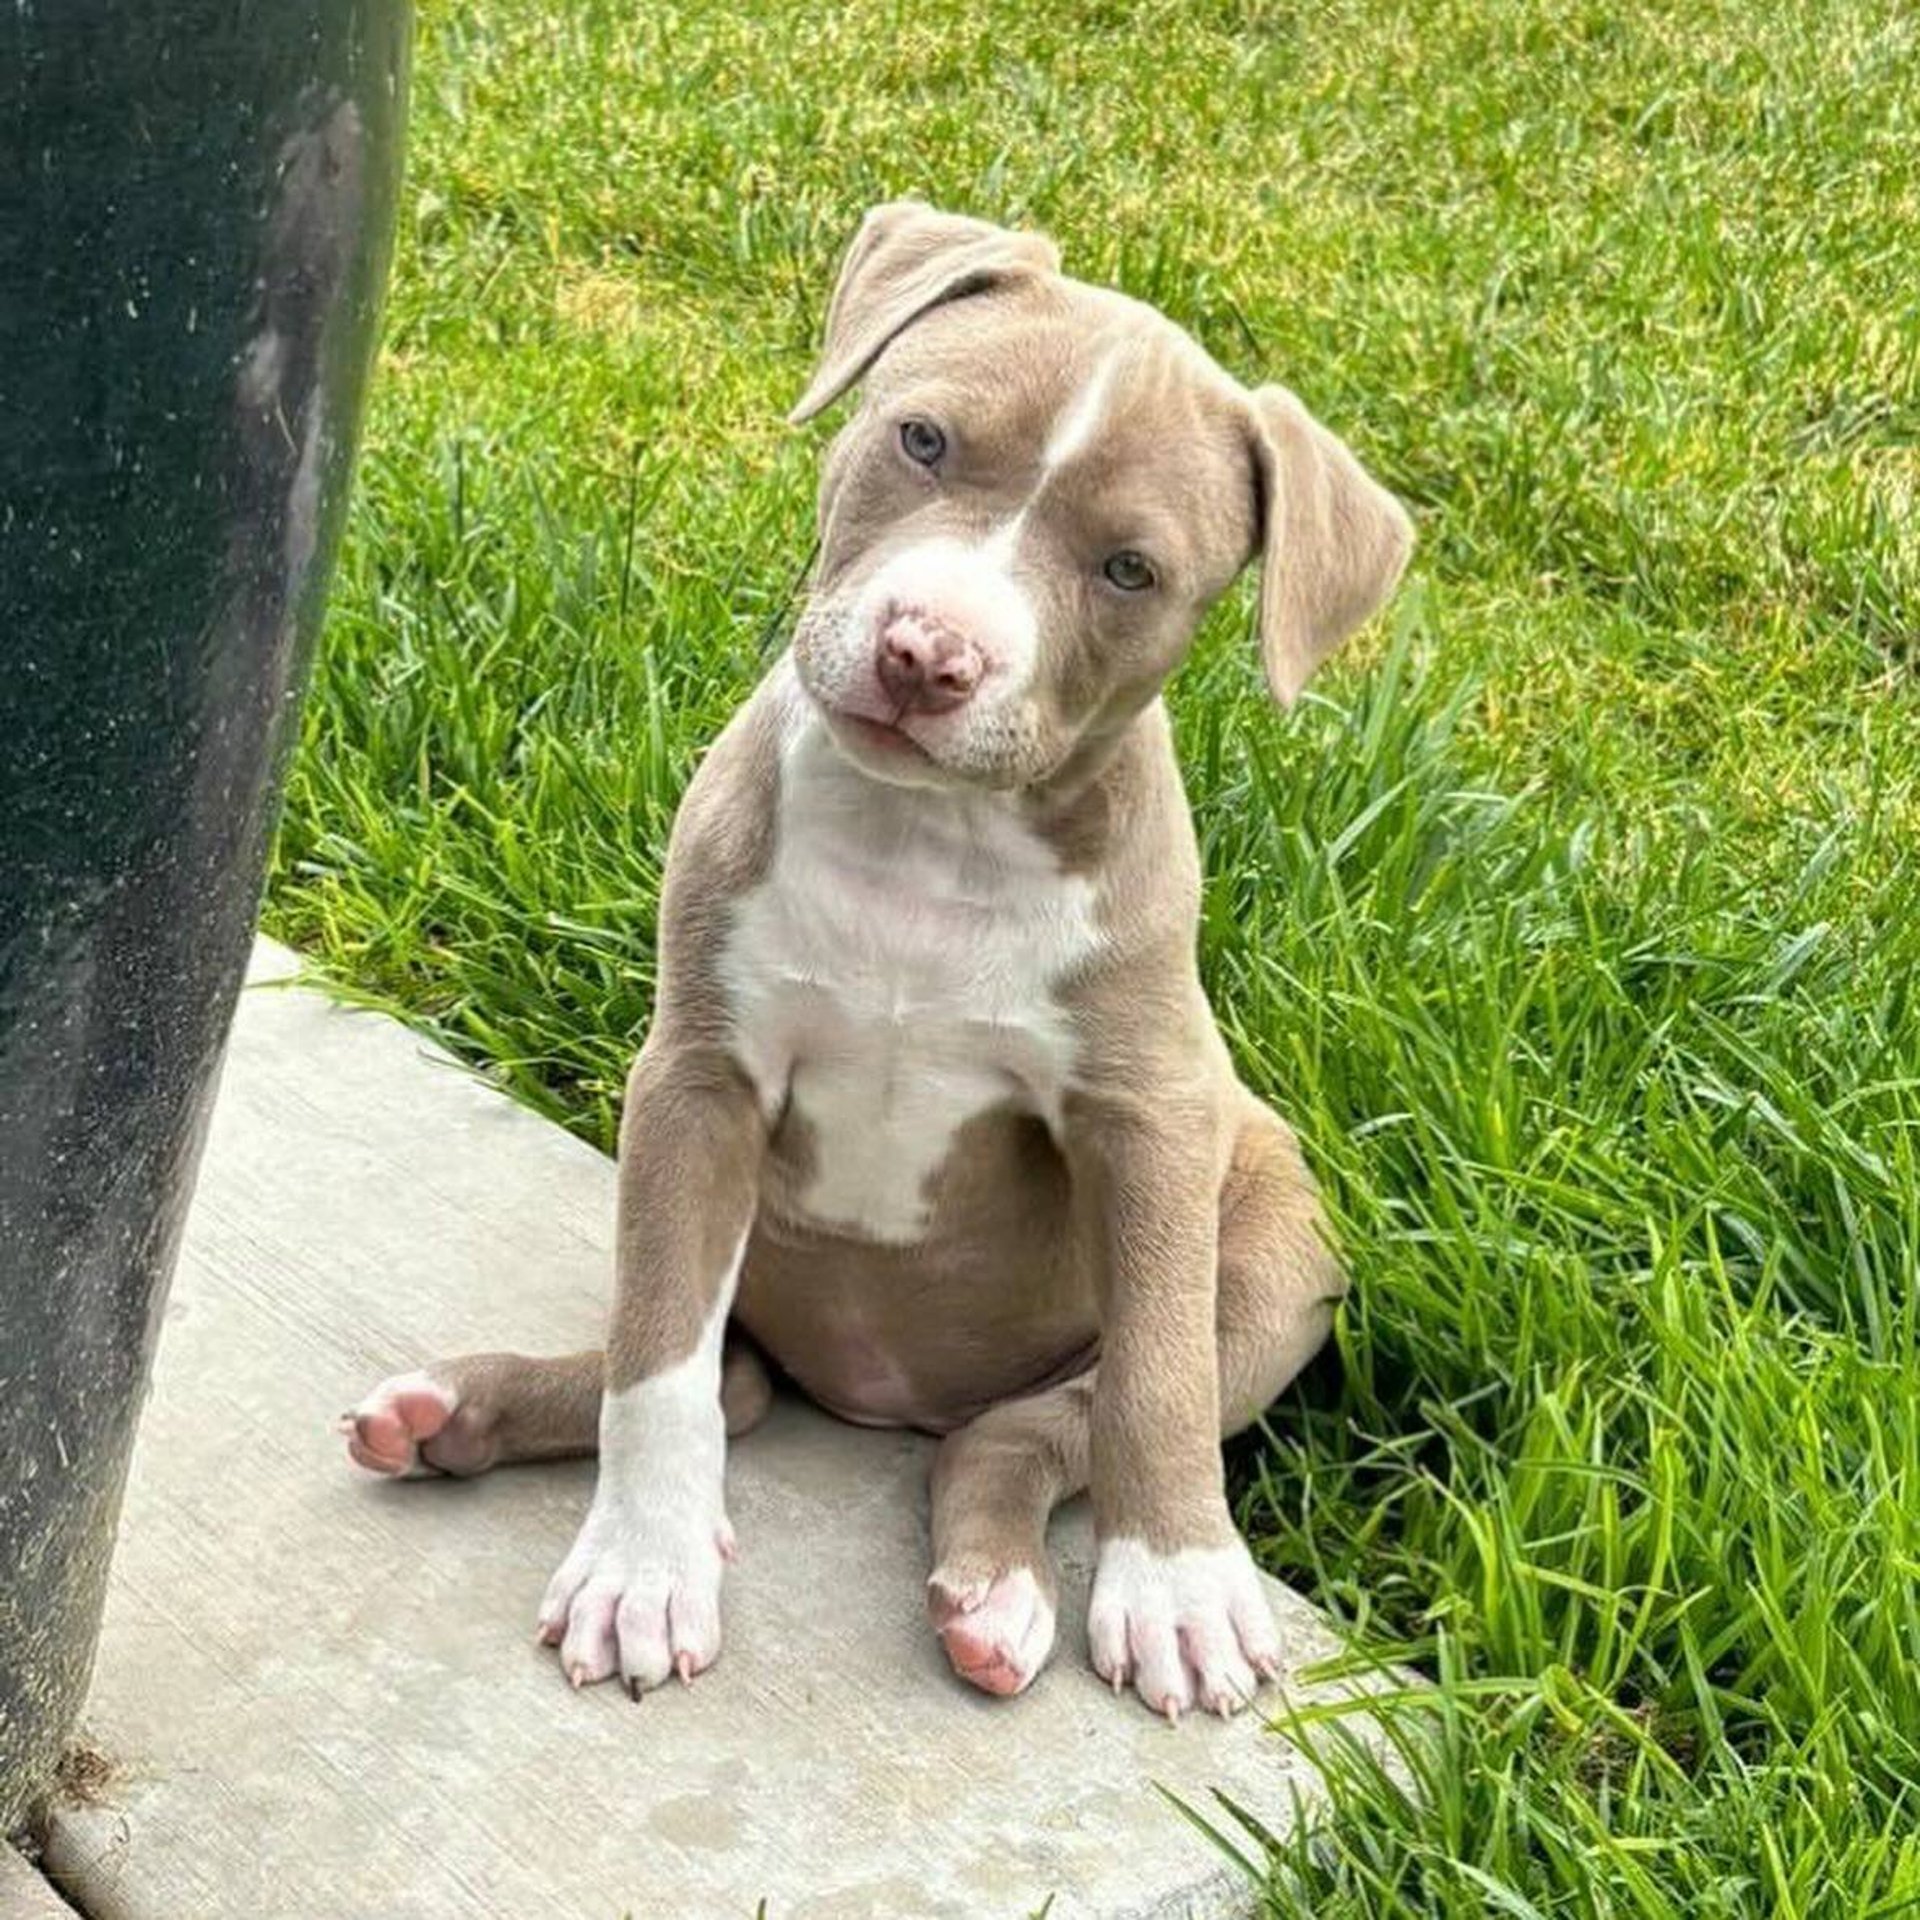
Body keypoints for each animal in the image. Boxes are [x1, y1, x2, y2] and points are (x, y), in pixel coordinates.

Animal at [341, 202, 1413, 1720]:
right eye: (922, 440)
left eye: (1130, 571)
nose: (927, 652)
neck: (930, 840)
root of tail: (885, 1398)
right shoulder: (697, 1081)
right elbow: (657, 1360)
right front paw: (643, 1568)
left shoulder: (1146, 1123)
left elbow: (1151, 1376)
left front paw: (1181, 1586)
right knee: (720, 1378)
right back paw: (455, 1411)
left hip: (1274, 1270)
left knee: (1034, 1429)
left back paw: (995, 1596)